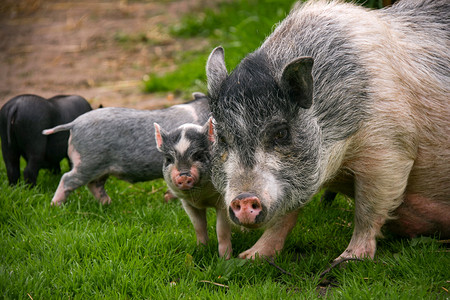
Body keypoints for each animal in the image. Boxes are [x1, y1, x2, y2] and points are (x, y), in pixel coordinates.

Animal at [43, 94, 209, 206]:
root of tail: (74, 124)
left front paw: (167, 198)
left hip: (100, 167)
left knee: (94, 184)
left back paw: (108, 203)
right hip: (88, 161)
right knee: (68, 178)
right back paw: (55, 206)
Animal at [206, 0, 448, 260]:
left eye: (281, 133)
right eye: (222, 138)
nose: (243, 199)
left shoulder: (390, 149)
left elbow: (368, 210)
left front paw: (348, 260)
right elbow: (284, 218)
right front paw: (250, 258)